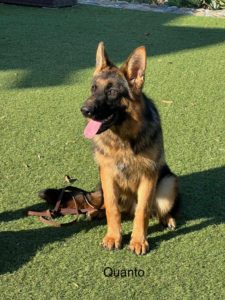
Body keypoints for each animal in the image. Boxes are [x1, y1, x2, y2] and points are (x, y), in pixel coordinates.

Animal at [81, 42, 179, 255]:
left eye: (112, 92)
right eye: (93, 88)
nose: (84, 110)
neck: (123, 140)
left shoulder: (148, 177)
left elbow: (143, 210)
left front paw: (138, 241)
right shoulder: (107, 175)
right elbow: (112, 208)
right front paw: (113, 236)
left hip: (168, 184)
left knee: (153, 210)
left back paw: (167, 219)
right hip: (101, 184)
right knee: (115, 207)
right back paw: (97, 213)